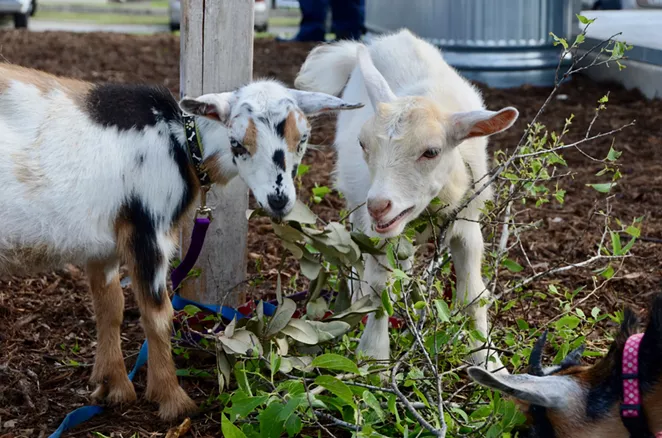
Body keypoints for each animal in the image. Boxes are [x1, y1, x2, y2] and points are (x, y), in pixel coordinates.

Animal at [0, 63, 364, 420]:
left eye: (303, 139)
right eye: (237, 143)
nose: (279, 201)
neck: (180, 144)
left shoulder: (104, 241)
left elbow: (110, 306)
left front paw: (113, 386)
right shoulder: (149, 230)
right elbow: (158, 315)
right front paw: (173, 401)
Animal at [298, 29, 520, 372]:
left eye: (432, 151)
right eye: (363, 144)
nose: (379, 206)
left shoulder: (467, 223)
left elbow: (473, 294)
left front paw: (489, 362)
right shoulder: (379, 233)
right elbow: (379, 288)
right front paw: (373, 359)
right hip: (355, 201)